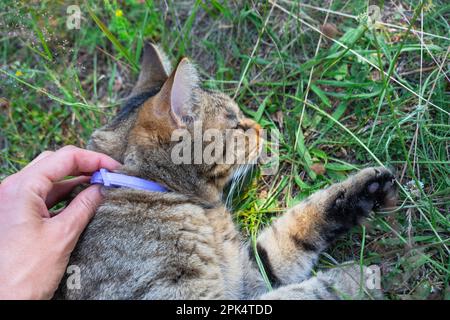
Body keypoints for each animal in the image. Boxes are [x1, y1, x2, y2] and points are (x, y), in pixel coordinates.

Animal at [53, 42, 398, 300]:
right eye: (236, 124)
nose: (260, 127)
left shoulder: (246, 272)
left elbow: (293, 229)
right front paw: (355, 278)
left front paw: (361, 193)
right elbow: (303, 293)